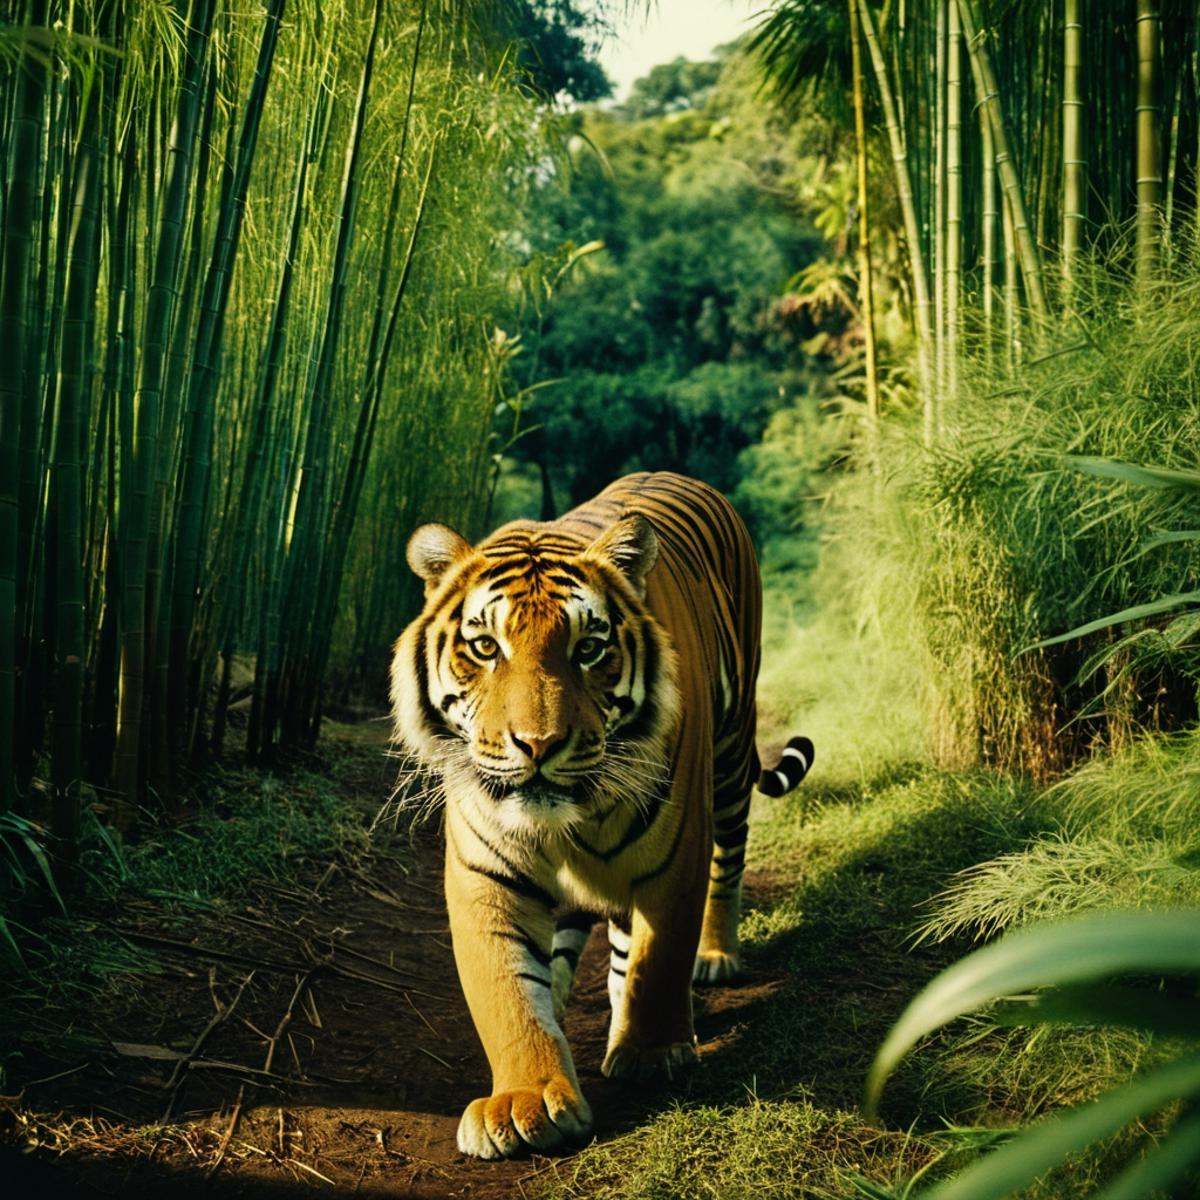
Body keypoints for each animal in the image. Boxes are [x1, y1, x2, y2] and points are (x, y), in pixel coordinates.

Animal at [390, 471, 814, 1160]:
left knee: (727, 862)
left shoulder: (674, 854)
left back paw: (714, 956)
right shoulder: (485, 873)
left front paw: (651, 1053)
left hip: (729, 757)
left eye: (589, 649)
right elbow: (507, 991)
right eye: (484, 646)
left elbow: (656, 956)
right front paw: (527, 1099)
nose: (537, 745)